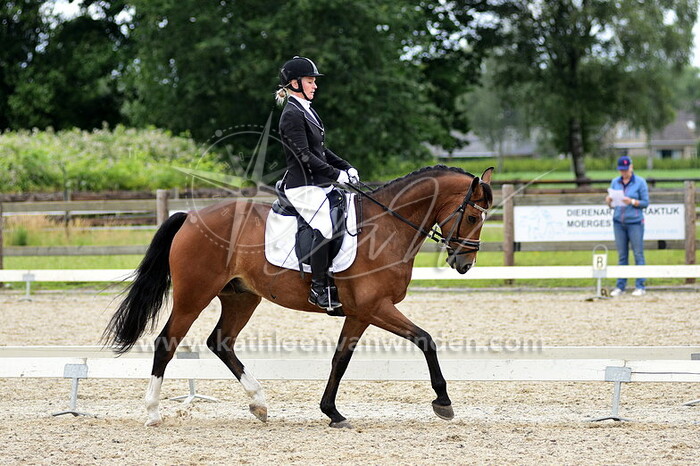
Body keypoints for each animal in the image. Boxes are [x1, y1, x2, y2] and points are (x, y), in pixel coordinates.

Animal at [104, 165, 494, 428]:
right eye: (473, 217)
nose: (465, 263)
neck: (389, 225)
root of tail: (189, 217)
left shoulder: (360, 313)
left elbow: (340, 359)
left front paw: (332, 412)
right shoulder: (375, 307)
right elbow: (425, 340)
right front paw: (443, 401)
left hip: (241, 297)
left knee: (221, 342)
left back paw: (259, 404)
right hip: (194, 295)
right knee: (166, 342)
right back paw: (153, 413)